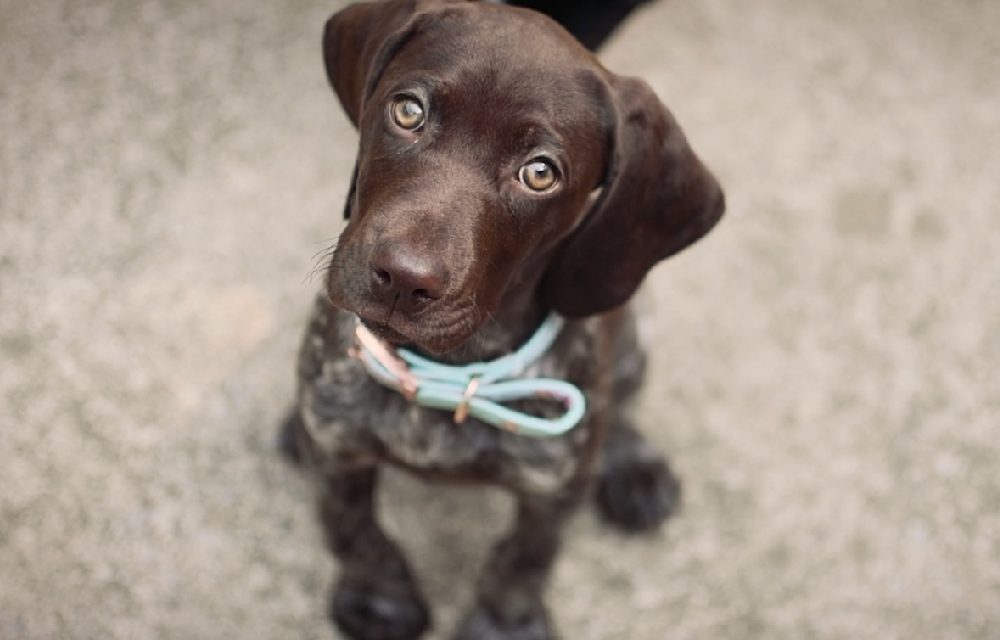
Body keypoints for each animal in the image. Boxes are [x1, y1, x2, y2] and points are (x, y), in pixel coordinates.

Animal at [282, 2, 728, 636]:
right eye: (408, 111)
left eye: (540, 173)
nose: (403, 279)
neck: (449, 373)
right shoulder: (335, 444)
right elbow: (351, 529)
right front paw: (377, 600)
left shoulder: (549, 492)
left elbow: (524, 560)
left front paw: (504, 623)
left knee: (621, 403)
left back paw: (633, 466)